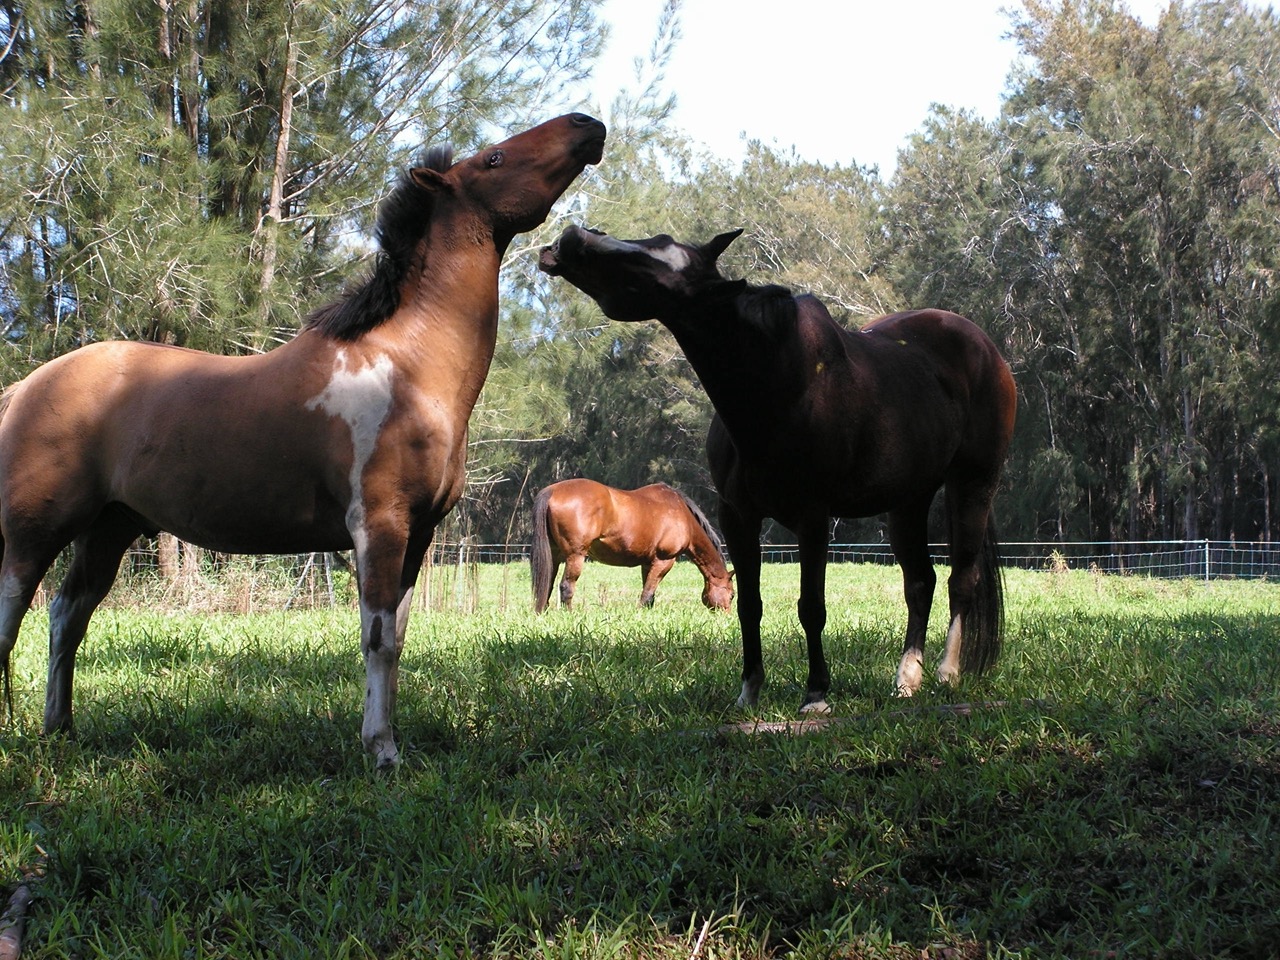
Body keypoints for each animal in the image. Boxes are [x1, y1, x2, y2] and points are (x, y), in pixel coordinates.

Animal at [0, 112, 606, 768]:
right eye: (493, 159)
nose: (587, 125)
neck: (405, 366)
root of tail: (26, 385)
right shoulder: (379, 527)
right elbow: (377, 639)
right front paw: (382, 752)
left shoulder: (417, 536)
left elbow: (398, 636)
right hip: (35, 532)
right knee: (15, 619)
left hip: (108, 527)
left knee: (67, 616)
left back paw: (59, 729)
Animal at [527, 481, 732, 616]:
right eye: (732, 595)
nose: (728, 616)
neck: (682, 516)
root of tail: (552, 490)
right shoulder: (664, 561)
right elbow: (647, 593)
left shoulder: (648, 563)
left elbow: (649, 591)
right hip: (575, 556)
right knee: (566, 586)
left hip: (554, 556)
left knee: (547, 583)